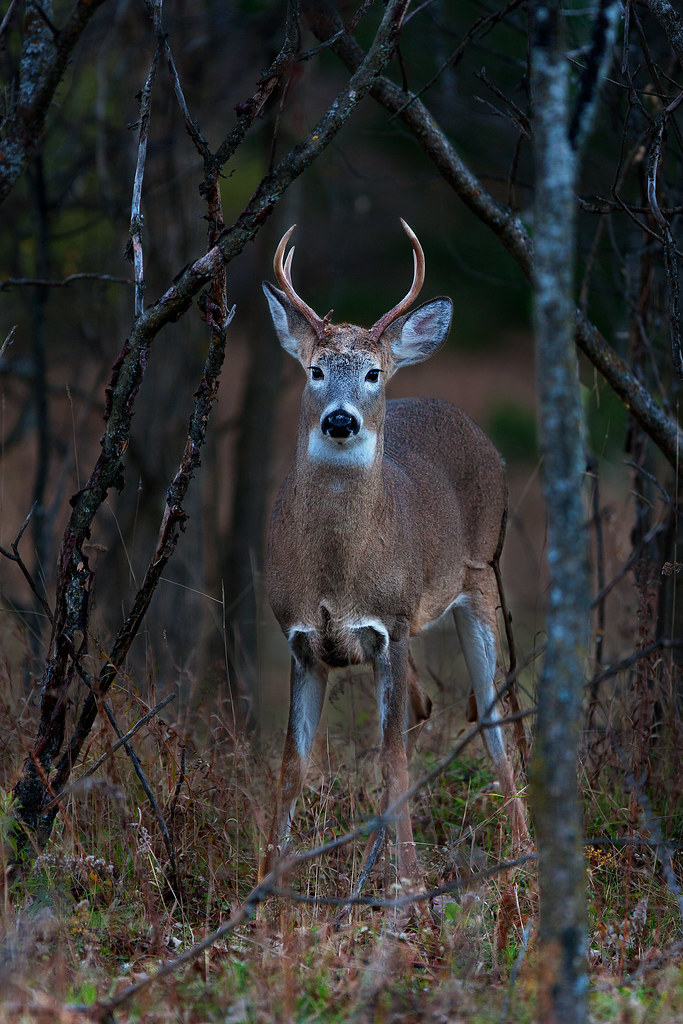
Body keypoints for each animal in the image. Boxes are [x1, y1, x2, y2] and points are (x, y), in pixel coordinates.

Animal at [260, 220, 528, 893]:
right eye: (315, 370)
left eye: (374, 373)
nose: (340, 420)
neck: (336, 578)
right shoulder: (300, 639)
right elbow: (293, 767)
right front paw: (267, 885)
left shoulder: (394, 624)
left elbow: (395, 762)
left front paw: (408, 886)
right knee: (424, 707)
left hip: (481, 580)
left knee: (492, 717)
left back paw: (520, 853)